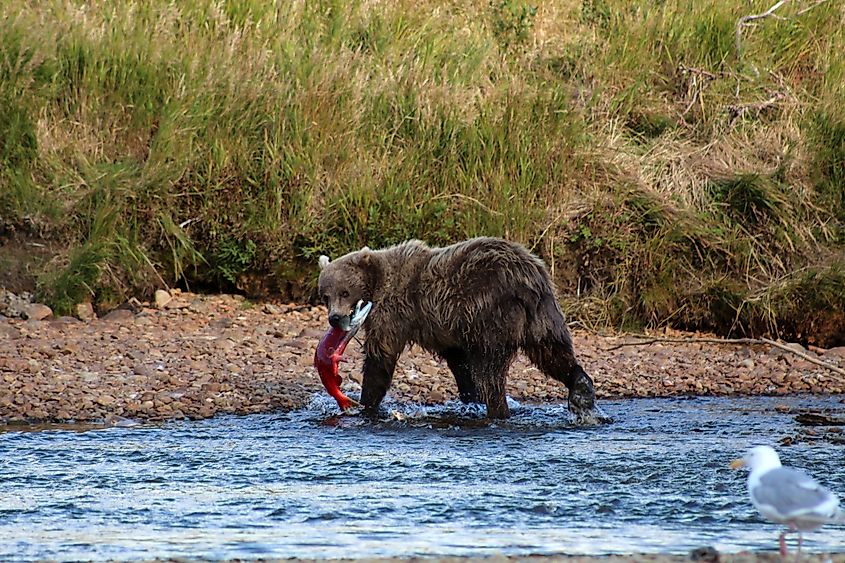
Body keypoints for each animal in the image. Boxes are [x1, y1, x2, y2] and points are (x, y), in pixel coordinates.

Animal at [317, 236, 599, 421]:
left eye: (345, 292)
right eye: (325, 295)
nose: (335, 318)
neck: (377, 282)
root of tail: (526, 277)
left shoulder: (395, 310)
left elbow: (381, 357)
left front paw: (365, 404)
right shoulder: (445, 327)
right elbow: (459, 362)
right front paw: (469, 395)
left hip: (492, 312)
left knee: (491, 369)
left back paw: (497, 410)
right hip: (543, 314)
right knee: (553, 352)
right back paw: (580, 389)